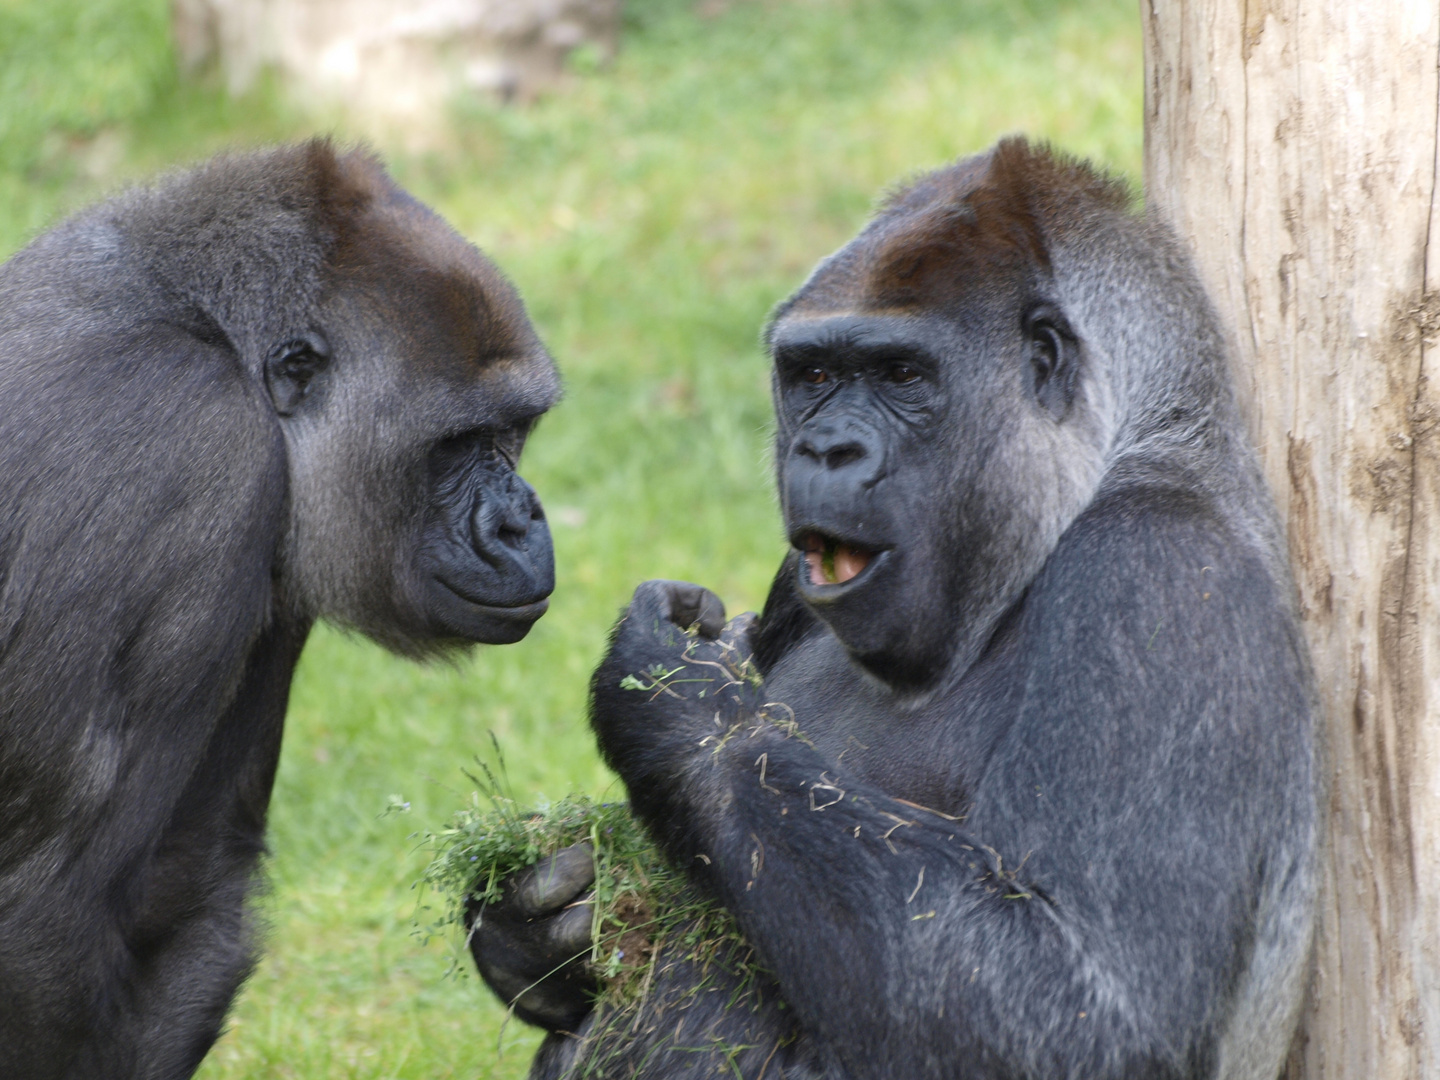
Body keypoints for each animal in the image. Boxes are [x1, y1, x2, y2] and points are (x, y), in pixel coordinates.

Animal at [0, 144, 558, 1080]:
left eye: (512, 433)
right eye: (455, 445)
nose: (522, 522)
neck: (208, 330)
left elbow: (188, 879)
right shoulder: (200, 457)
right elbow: (45, 911)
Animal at [469, 141, 1319, 1080]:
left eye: (902, 375)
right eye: (813, 375)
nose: (825, 448)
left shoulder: (1156, 575)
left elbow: (1093, 1017)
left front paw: (679, 708)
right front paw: (533, 924)